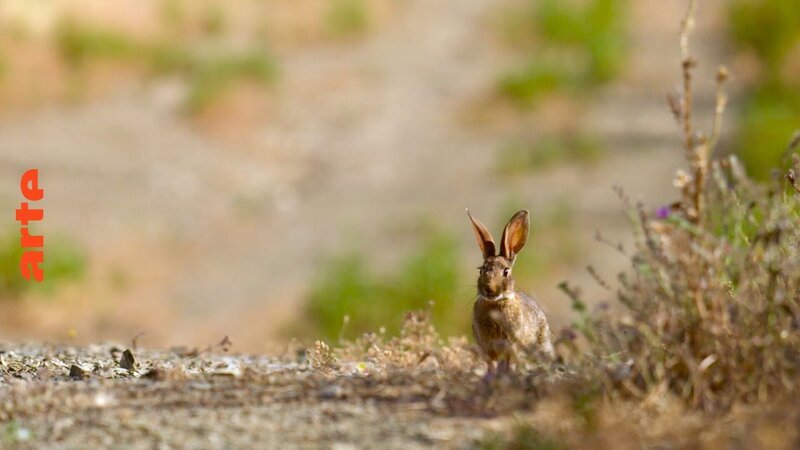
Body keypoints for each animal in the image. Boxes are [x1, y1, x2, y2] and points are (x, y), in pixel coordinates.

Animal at [467, 209, 555, 375]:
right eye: (481, 271)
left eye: (506, 272)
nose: (489, 289)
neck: (495, 303)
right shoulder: (488, 348)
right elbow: (491, 365)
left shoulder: (512, 346)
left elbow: (509, 364)